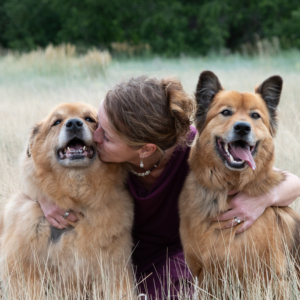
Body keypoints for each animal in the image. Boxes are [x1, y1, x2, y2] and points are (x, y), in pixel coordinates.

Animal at [0, 102, 134, 298]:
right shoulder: (25, 271)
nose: (74, 124)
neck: (76, 201)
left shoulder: (115, 268)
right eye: (57, 122)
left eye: (89, 119)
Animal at [179, 71, 300, 296]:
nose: (242, 128)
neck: (229, 188)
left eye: (255, 116)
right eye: (226, 112)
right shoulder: (204, 277)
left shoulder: (271, 279)